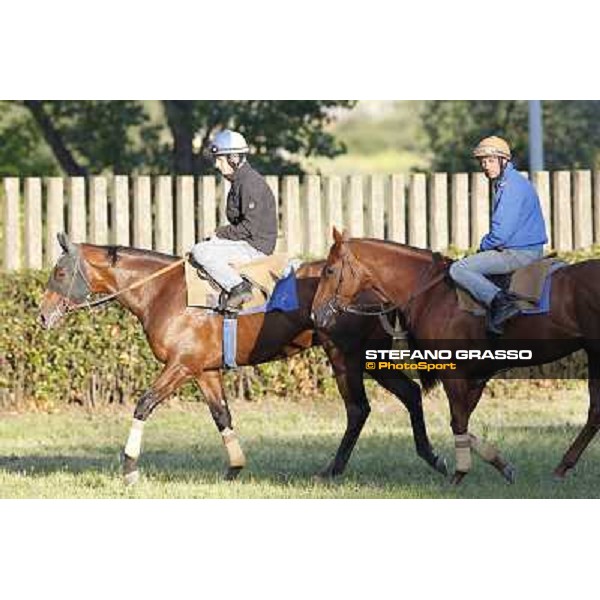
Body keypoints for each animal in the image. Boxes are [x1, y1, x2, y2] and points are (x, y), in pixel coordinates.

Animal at [36, 232, 446, 486]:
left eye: (60, 271)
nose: (41, 316)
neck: (164, 290)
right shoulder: (204, 372)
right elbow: (222, 416)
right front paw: (234, 467)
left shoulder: (179, 367)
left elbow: (143, 405)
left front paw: (130, 468)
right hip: (368, 359)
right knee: (409, 394)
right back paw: (432, 457)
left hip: (345, 356)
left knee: (359, 409)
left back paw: (334, 469)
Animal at [312, 227, 600, 486]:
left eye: (329, 270)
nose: (316, 315)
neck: (432, 294)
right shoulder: (475, 376)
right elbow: (463, 421)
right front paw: (498, 463)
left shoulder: (454, 372)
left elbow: (458, 420)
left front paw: (460, 473)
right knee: (595, 412)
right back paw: (562, 467)